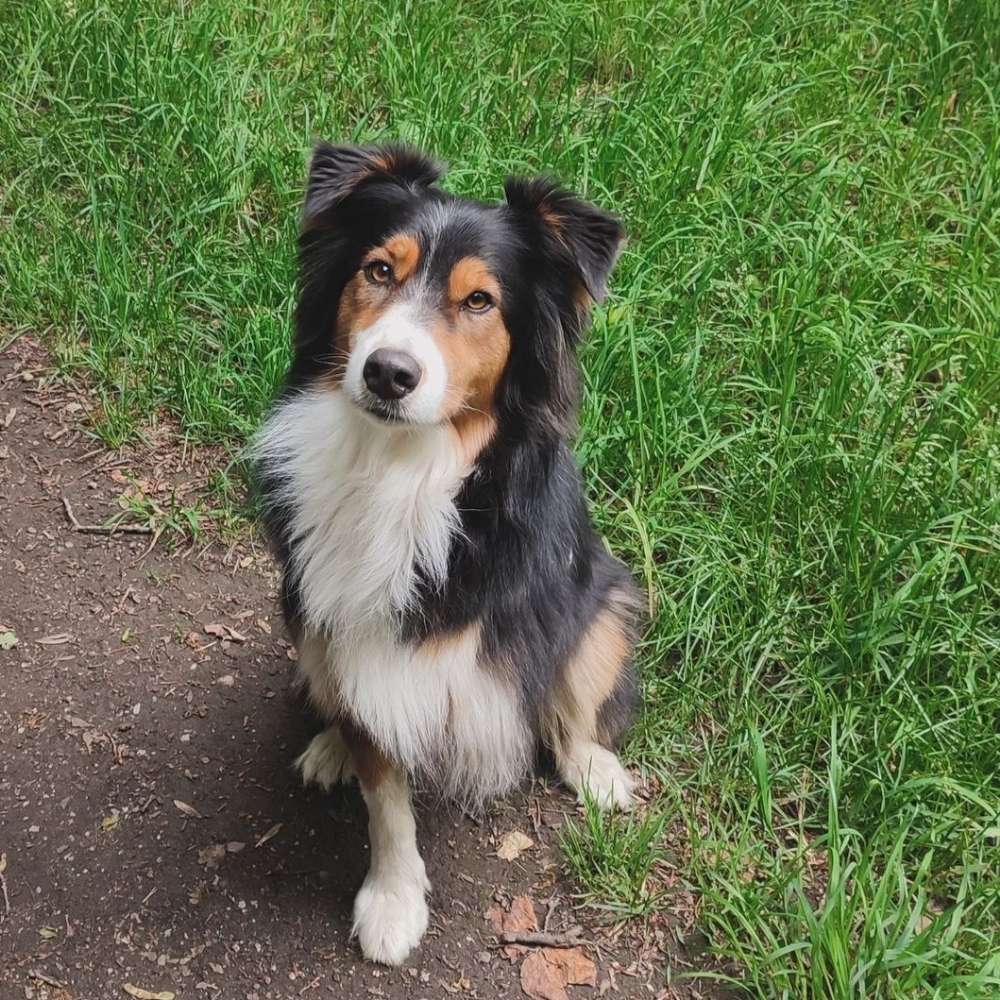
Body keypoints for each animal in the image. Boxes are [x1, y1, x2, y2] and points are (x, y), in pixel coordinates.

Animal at [252, 145, 640, 964]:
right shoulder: (354, 633)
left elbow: (557, 694)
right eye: (377, 270)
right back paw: (330, 747)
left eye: (480, 302)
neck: (403, 467)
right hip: (303, 621)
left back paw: (595, 768)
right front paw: (394, 900)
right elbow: (386, 794)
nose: (388, 372)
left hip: (605, 598)